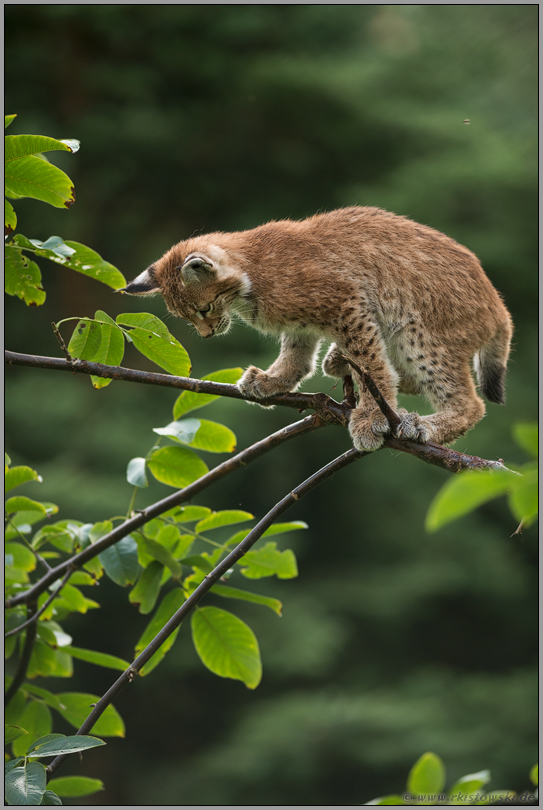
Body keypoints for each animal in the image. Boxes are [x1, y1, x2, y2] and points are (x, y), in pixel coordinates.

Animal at [122, 207, 516, 448]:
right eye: (186, 318)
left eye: (203, 308)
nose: (207, 334)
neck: (250, 275)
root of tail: (500, 305)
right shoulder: (303, 321)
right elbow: (297, 353)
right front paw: (274, 379)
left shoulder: (347, 304)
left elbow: (371, 364)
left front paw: (372, 416)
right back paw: (339, 361)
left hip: (419, 332)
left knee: (471, 404)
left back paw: (423, 425)